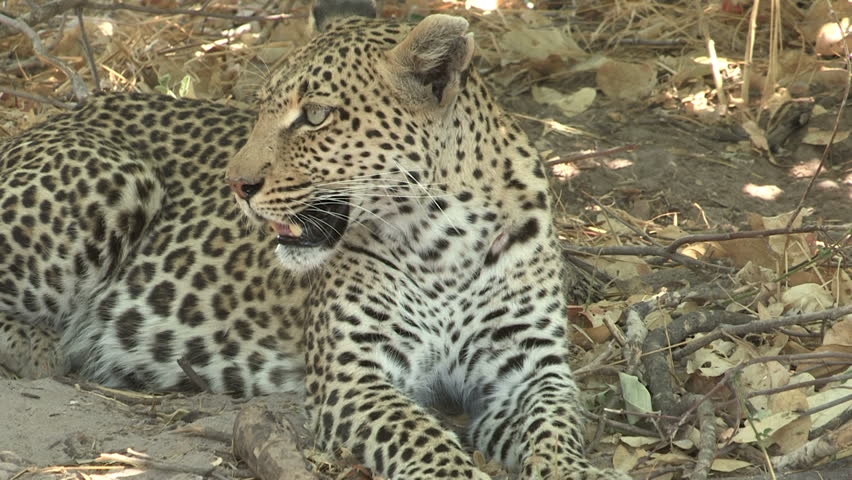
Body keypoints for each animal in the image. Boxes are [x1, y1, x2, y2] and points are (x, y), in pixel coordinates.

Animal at [0, 0, 624, 480]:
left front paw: (575, 470)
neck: (446, 240)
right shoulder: (354, 375)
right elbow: (423, 438)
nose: (235, 184)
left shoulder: (530, 370)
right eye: (261, 111)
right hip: (115, 175)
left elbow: (555, 428)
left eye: (316, 116)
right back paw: (48, 347)